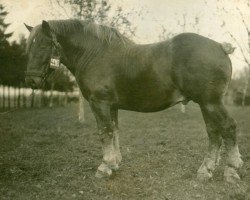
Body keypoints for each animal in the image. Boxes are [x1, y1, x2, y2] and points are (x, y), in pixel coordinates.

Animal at [24, 19, 243, 183]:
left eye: (44, 45)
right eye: (28, 47)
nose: (31, 81)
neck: (94, 54)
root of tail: (220, 47)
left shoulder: (100, 103)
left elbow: (104, 132)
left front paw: (104, 167)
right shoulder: (111, 106)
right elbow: (114, 131)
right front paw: (114, 164)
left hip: (211, 102)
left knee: (228, 127)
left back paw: (232, 170)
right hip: (206, 104)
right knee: (214, 132)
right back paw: (206, 171)